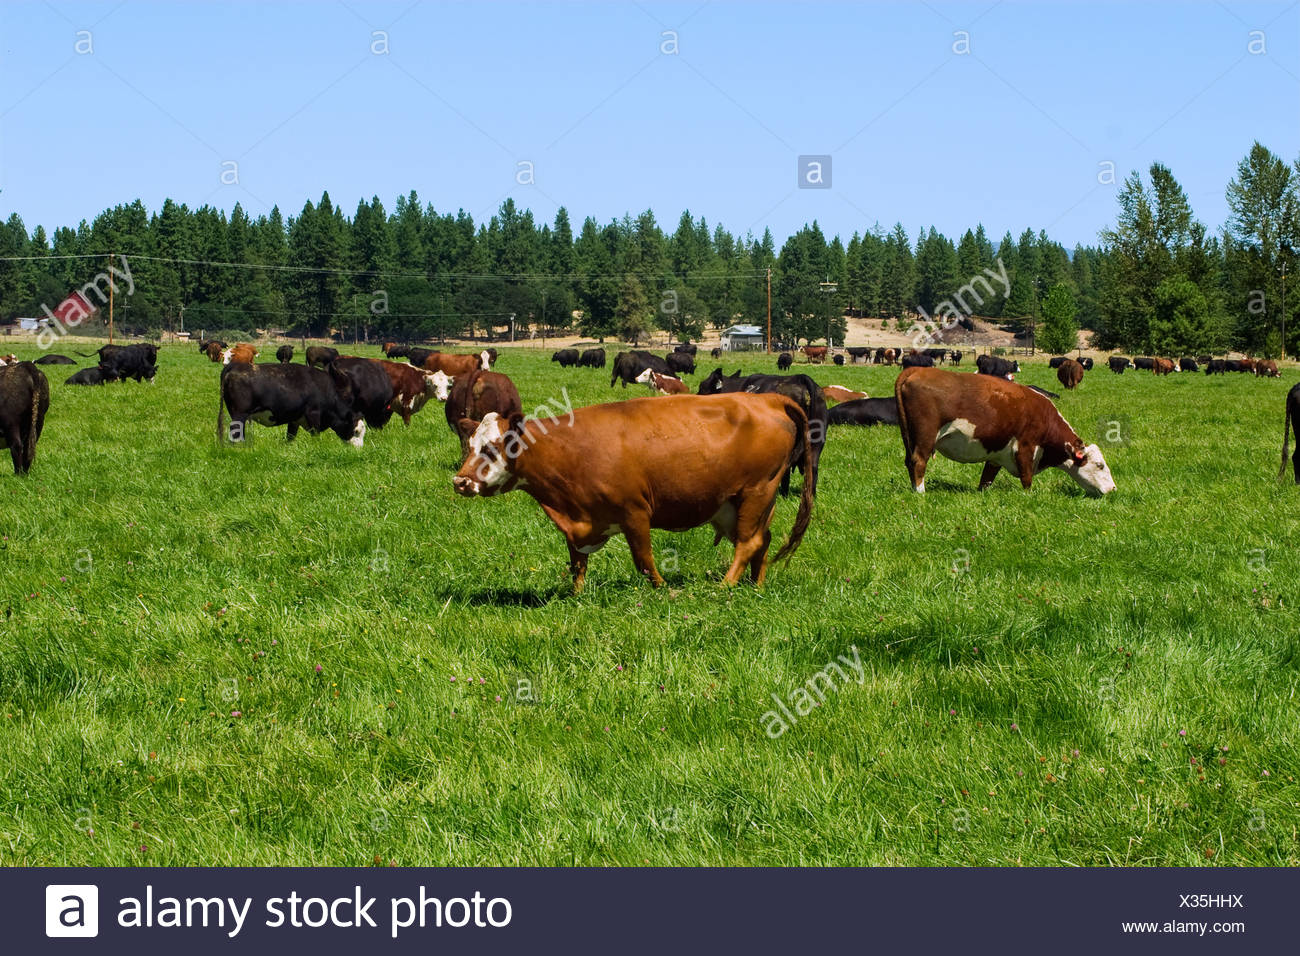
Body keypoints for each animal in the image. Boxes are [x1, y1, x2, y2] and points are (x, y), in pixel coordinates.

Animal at [217, 362, 365, 447]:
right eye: (356, 431)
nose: (359, 449)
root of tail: (236, 365)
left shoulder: (294, 419)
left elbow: (290, 437)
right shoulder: (313, 413)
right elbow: (316, 434)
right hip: (240, 414)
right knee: (235, 432)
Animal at [451, 393, 815, 592]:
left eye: (492, 448)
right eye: (469, 445)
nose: (460, 482)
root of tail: (766, 398)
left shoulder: (635, 512)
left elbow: (644, 561)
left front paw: (663, 590)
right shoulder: (579, 523)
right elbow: (578, 564)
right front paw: (576, 596)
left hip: (756, 491)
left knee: (748, 543)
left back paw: (725, 585)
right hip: (741, 503)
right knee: (762, 540)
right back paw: (756, 585)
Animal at [895, 367, 1115, 495]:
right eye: (1100, 465)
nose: (1113, 488)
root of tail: (916, 370)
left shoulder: (997, 454)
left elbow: (986, 478)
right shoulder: (1025, 447)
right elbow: (1027, 479)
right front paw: (1028, 497)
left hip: (909, 438)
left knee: (909, 461)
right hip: (925, 437)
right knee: (918, 461)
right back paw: (921, 493)